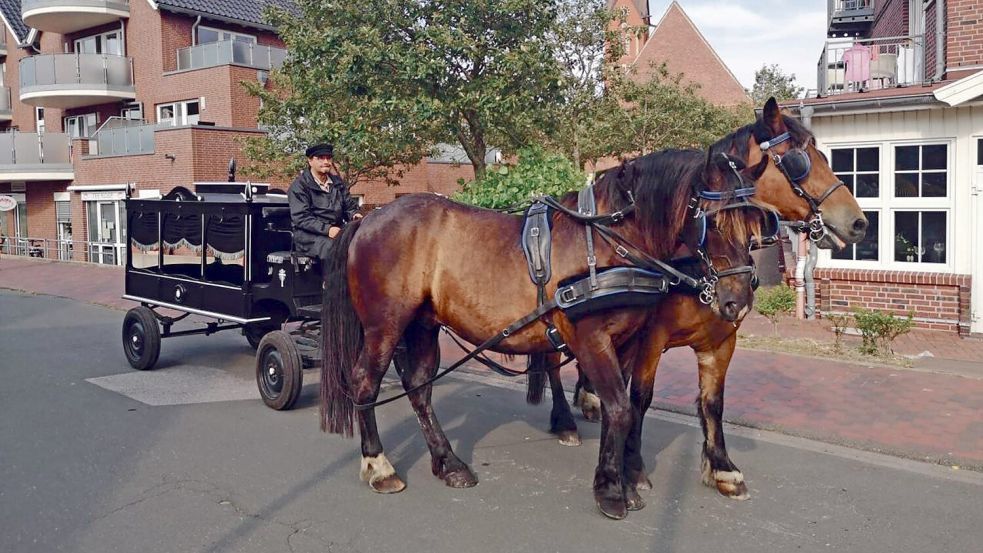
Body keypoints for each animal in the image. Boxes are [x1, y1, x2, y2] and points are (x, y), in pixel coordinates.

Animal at [320, 150, 772, 516]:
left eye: (756, 222)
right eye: (712, 221)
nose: (737, 300)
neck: (608, 244)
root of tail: (368, 218)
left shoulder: (629, 342)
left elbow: (624, 408)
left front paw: (624, 481)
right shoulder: (592, 339)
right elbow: (620, 408)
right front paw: (612, 491)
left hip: (423, 325)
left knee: (419, 388)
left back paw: (449, 463)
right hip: (385, 326)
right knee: (365, 385)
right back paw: (379, 466)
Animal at [532, 97, 860, 506]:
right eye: (798, 161)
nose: (858, 222)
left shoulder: (721, 339)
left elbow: (712, 402)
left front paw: (722, 468)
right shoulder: (650, 338)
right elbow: (639, 398)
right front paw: (633, 467)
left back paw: (588, 399)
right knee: (550, 361)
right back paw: (563, 419)